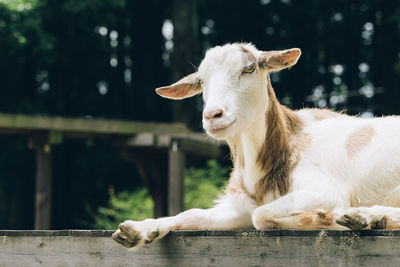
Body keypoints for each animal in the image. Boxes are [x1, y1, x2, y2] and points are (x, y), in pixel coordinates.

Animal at [111, 42, 400, 249]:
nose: (213, 115)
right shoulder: (238, 208)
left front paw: (324, 219)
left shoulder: (326, 191)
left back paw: (368, 217)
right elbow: (191, 214)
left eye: (249, 69)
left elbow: (260, 216)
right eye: (202, 81)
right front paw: (139, 229)